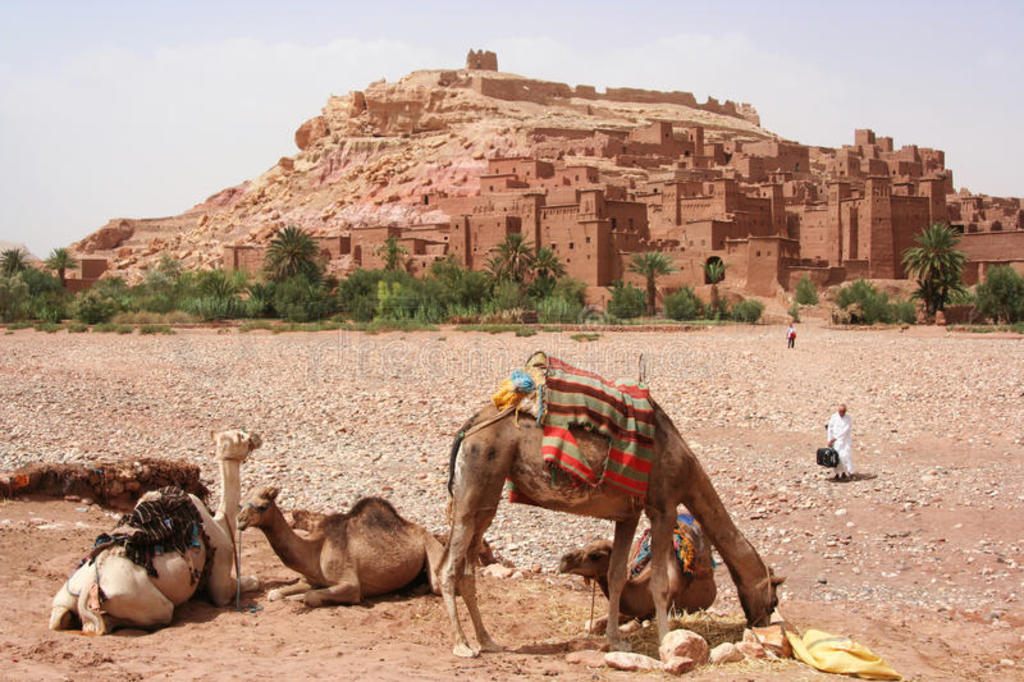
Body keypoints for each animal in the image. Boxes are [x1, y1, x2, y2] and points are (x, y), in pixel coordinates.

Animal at [49, 428, 262, 630]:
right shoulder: (221, 572)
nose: (257, 436)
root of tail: (87, 589)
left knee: (59, 619)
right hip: (142, 600)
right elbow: (244, 584)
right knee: (158, 613)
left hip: (63, 598)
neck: (221, 522)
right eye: (241, 435)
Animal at [239, 483, 448, 606]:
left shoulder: (351, 585)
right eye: (241, 503)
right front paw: (282, 594)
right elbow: (274, 593)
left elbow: (311, 596)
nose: (240, 521)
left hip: (431, 547)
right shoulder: (308, 579)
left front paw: (296, 598)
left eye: (263, 506)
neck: (315, 550)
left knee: (437, 584)